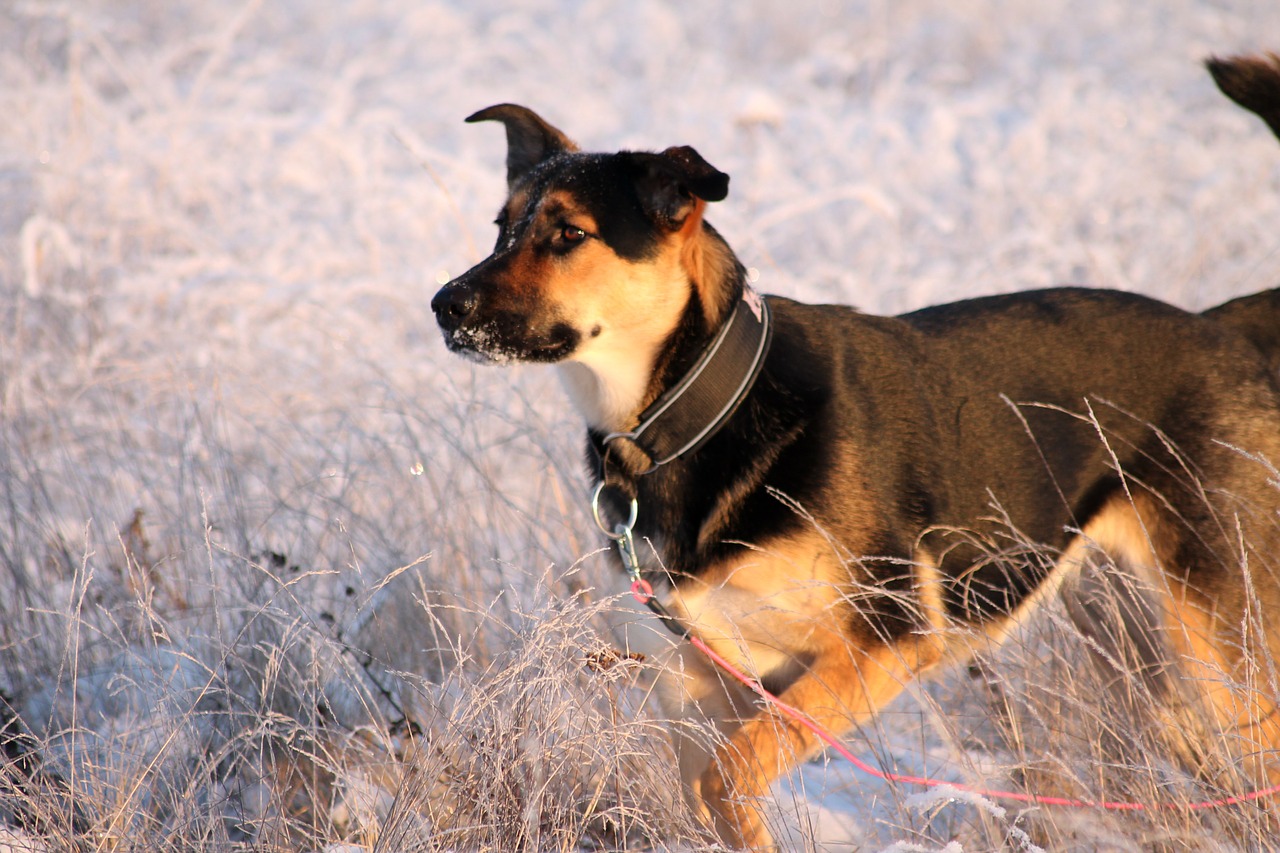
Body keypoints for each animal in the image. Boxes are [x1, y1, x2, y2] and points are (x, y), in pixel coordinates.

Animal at [435, 56, 1280, 845]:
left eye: (569, 234)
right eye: (501, 228)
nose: (444, 305)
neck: (699, 412)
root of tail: (1224, 329)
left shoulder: (882, 642)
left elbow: (731, 774)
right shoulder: (695, 689)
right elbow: (715, 790)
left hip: (1224, 641)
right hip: (1144, 648)